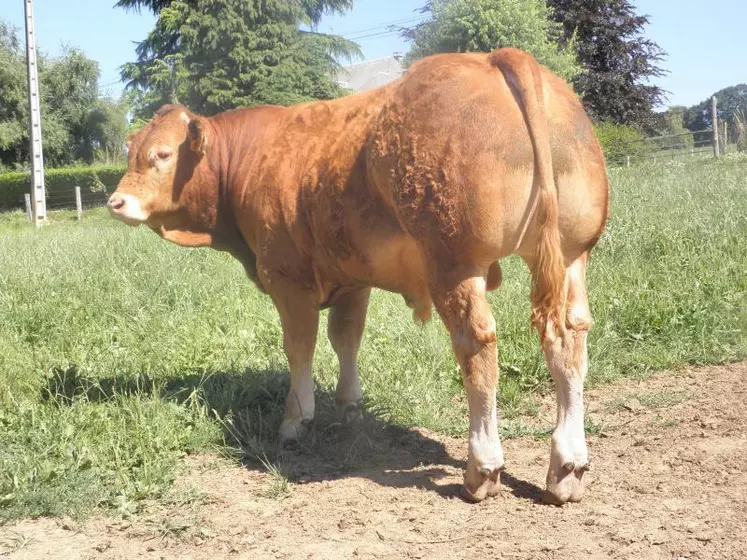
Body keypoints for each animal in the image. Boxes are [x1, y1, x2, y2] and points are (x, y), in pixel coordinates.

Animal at [112, 48, 612, 504]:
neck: (253, 157)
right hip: (571, 256)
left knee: (477, 345)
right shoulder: (353, 277)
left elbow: (300, 346)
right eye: (133, 152)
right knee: (569, 341)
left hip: (454, 263)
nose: (116, 202)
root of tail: (493, 57)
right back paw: (566, 467)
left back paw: (482, 469)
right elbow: (346, 338)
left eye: (161, 154)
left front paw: (296, 418)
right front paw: (349, 404)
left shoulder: (287, 277)